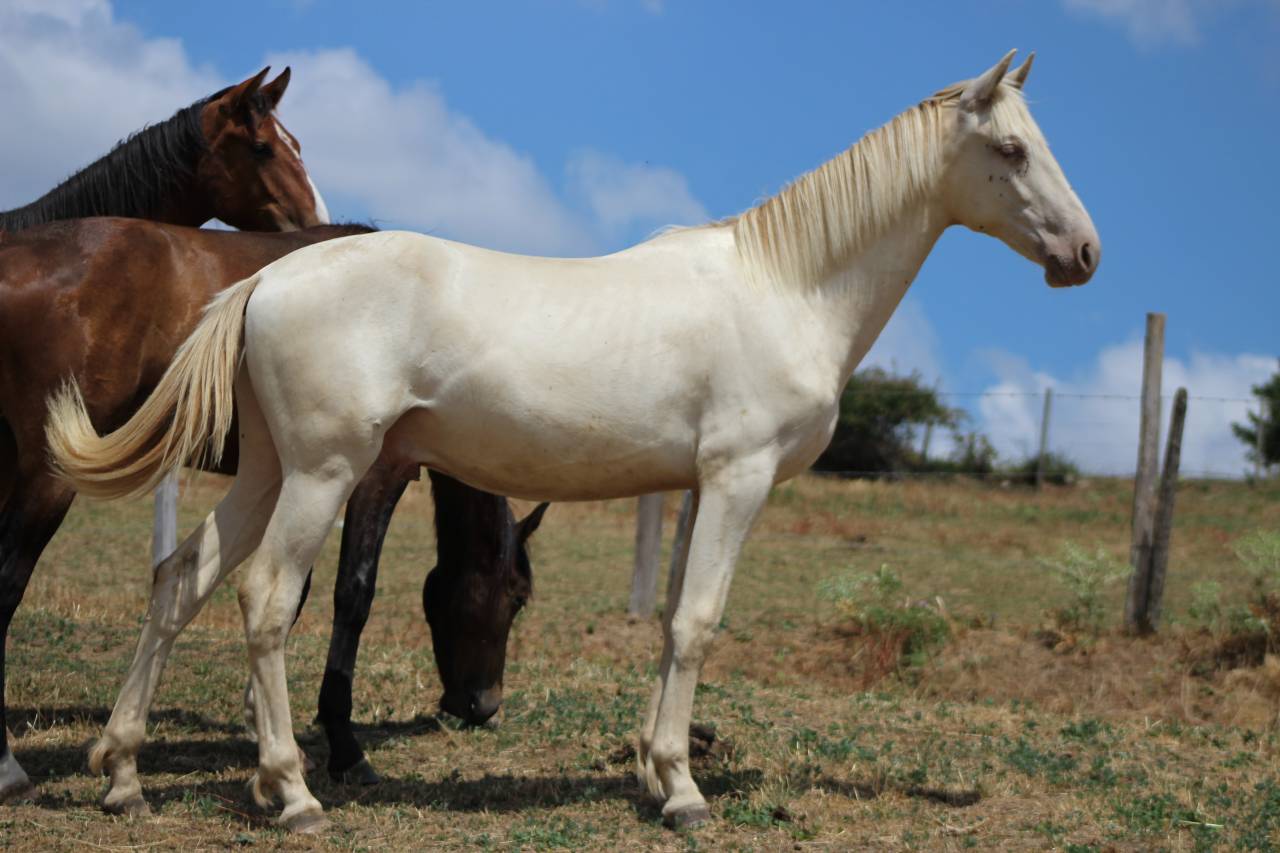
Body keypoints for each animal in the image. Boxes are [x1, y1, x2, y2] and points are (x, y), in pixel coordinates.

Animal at [0, 217, 543, 797]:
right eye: (516, 598)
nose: (483, 706)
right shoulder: (373, 478)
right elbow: (352, 596)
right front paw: (341, 746)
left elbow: (296, 594)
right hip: (46, 478)